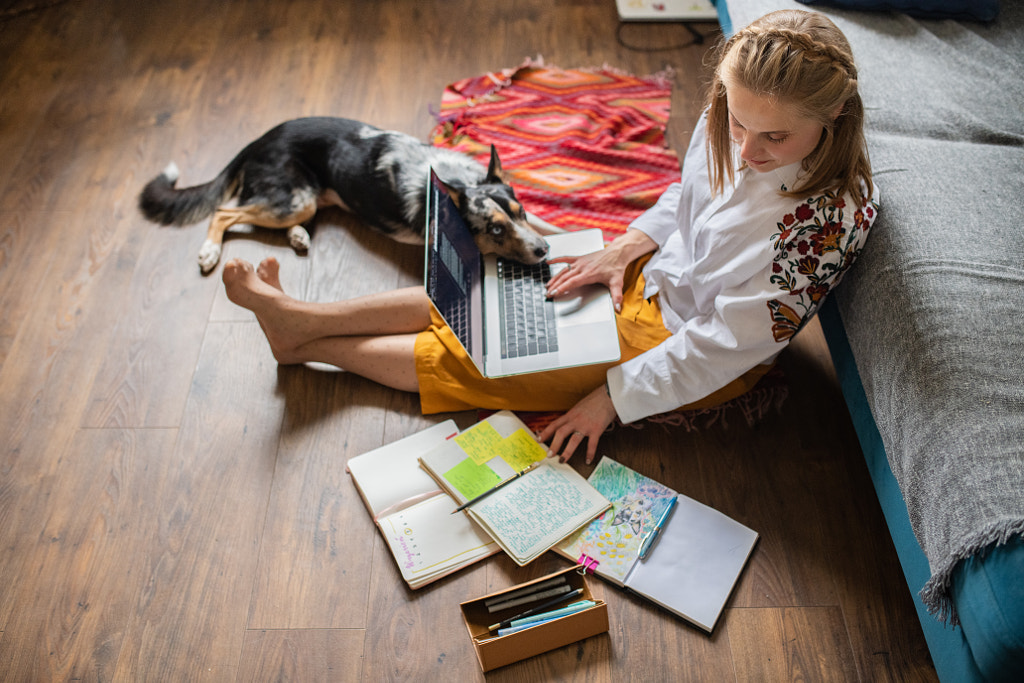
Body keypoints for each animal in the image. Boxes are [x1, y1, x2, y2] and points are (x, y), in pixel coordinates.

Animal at [138, 115, 561, 272]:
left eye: (521, 212)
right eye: (494, 231)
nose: (543, 252)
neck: (457, 182)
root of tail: (261, 139)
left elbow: (553, 225)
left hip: (307, 200)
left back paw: (298, 236)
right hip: (295, 198)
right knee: (224, 212)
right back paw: (209, 251)